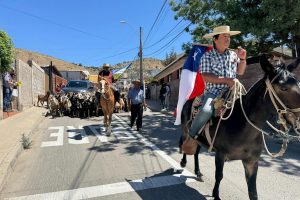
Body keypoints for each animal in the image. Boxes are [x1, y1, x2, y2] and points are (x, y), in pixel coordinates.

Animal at [180, 54, 300, 199]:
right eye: (283, 88)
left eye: (298, 84)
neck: (244, 128)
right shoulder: (220, 154)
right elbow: (219, 176)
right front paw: (215, 194)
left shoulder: (251, 162)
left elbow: (253, 192)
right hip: (186, 131)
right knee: (185, 144)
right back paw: (183, 162)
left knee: (196, 152)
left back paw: (198, 172)